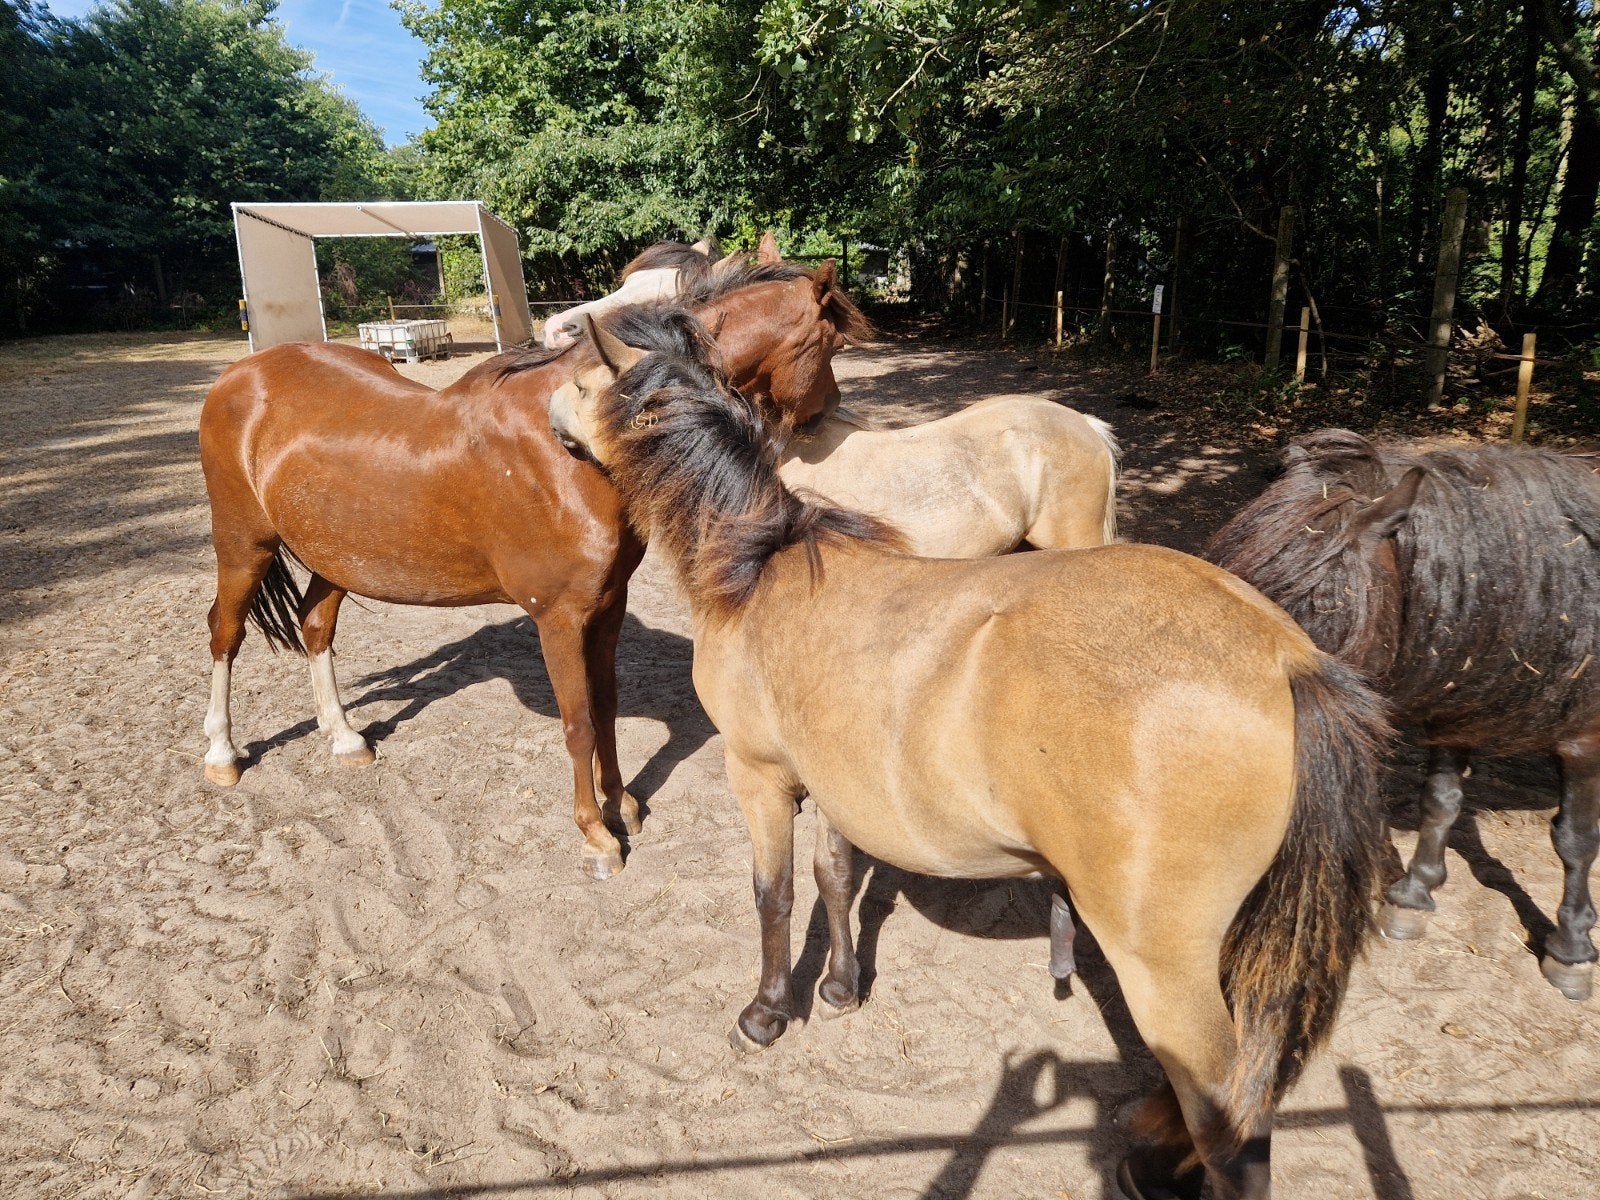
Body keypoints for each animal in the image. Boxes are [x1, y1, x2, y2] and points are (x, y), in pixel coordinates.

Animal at [197, 251, 871, 881]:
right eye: (831, 344)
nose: (829, 421)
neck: (571, 449)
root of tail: (242, 375)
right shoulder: (558, 617)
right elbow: (577, 723)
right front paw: (596, 837)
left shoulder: (608, 607)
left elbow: (605, 708)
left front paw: (622, 805)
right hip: (244, 546)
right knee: (224, 633)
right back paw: (222, 754)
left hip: (335, 556)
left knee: (315, 627)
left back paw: (343, 738)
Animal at [1207, 429, 1600, 1001]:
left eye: (1324, 605)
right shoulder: (1456, 707)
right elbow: (1440, 802)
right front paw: (1413, 895)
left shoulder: (1584, 740)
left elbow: (1575, 839)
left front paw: (1571, 949)